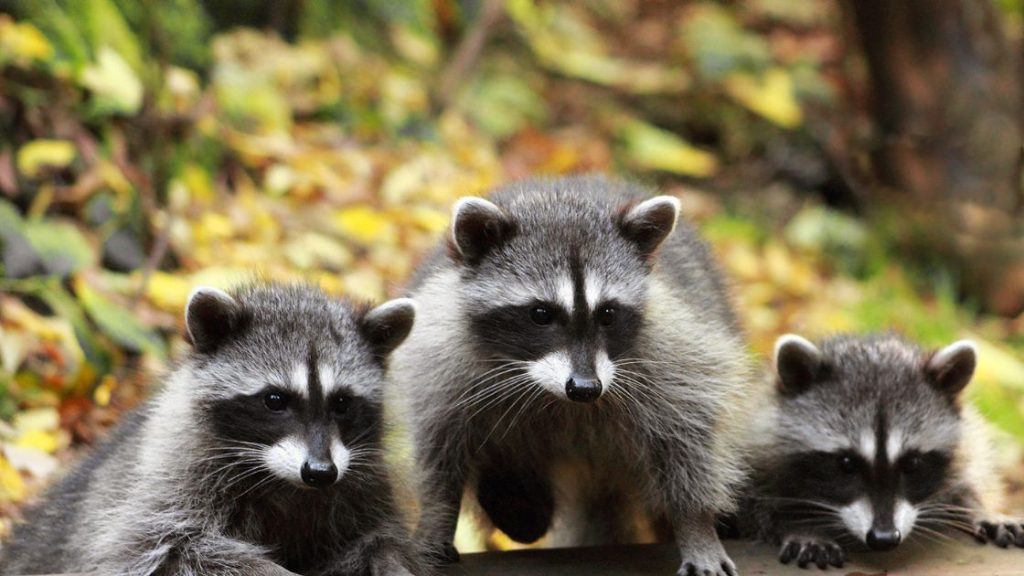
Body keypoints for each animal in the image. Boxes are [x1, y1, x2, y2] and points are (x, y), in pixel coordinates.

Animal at [0, 284, 421, 576]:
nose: (320, 472)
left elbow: (381, 541)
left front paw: (388, 561)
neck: (285, 484)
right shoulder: (168, 482)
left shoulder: (363, 488)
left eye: (342, 403)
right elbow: (168, 550)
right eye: (275, 400)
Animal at [392, 176, 753, 576]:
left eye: (607, 313)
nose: (585, 388)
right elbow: (439, 449)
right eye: (540, 314)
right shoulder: (440, 357)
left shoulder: (676, 354)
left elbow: (689, 437)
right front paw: (437, 517)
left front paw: (695, 524)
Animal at [740, 333, 1023, 570]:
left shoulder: (967, 439)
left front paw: (982, 508)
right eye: (846, 463)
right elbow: (756, 505)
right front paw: (801, 525)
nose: (884, 538)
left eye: (912, 464)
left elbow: (968, 475)